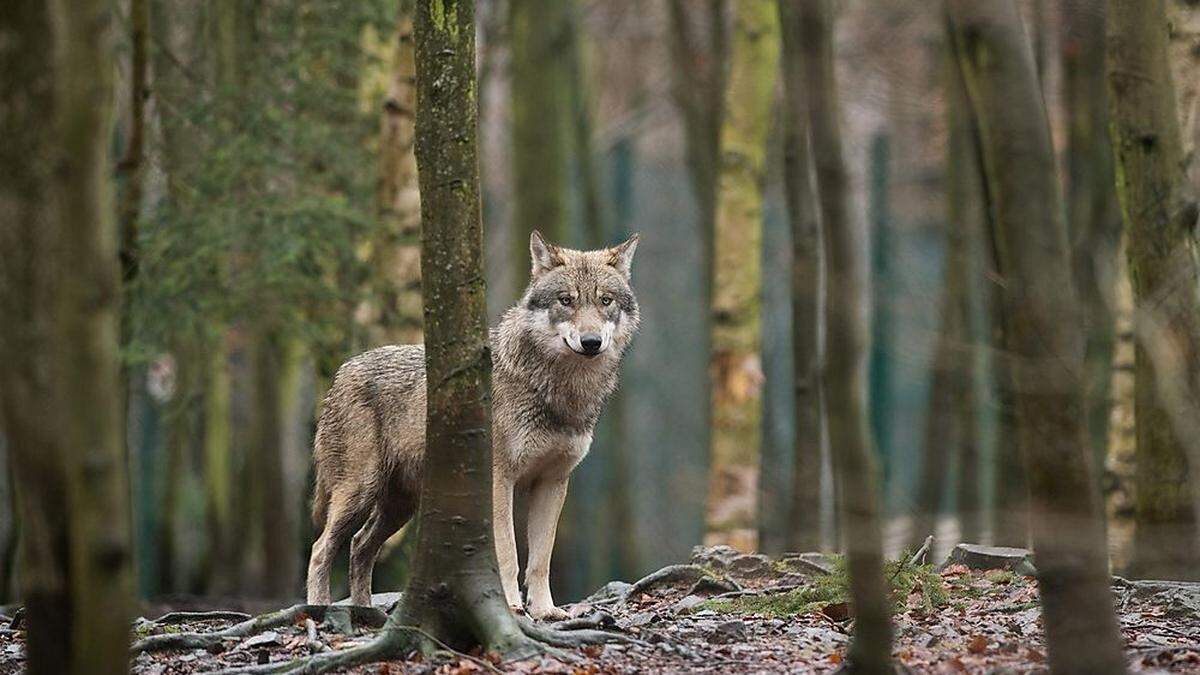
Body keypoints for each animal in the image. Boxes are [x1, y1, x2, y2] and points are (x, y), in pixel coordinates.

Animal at [307, 228, 638, 619]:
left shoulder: (553, 482)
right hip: (359, 492)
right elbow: (508, 554)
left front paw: (545, 611)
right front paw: (511, 606)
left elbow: (541, 559)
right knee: (321, 548)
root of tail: (342, 371)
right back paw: (318, 609)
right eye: (566, 301)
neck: (559, 390)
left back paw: (365, 612)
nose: (591, 342)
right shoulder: (499, 479)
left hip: (400, 506)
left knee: (360, 546)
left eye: (605, 301)